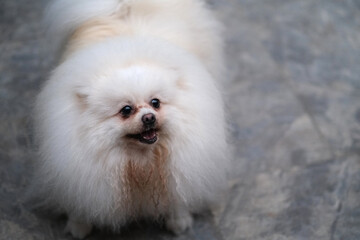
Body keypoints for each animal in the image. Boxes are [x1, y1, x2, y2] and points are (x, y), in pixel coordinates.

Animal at [35, 0, 229, 238]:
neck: (140, 163)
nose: (149, 117)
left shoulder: (181, 162)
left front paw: (178, 220)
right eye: (126, 110)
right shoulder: (80, 170)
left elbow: (178, 193)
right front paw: (79, 225)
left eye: (156, 102)